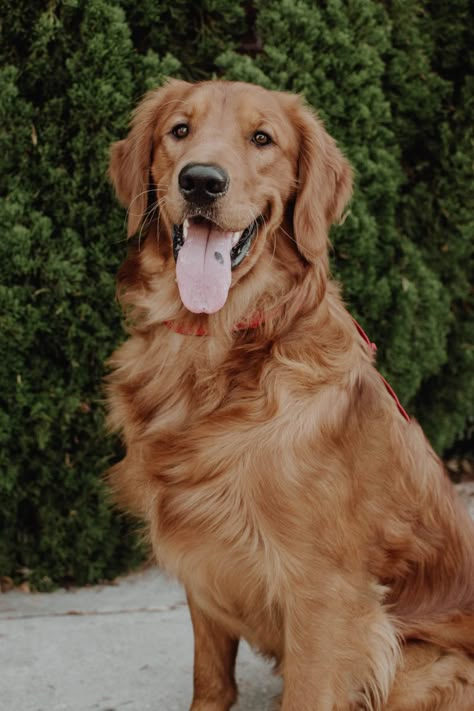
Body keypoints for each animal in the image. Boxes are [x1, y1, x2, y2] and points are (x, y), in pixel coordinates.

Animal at [107, 80, 474, 708]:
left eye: (262, 139)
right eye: (179, 130)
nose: (201, 181)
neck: (217, 348)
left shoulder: (324, 592)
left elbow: (307, 690)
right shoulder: (202, 562)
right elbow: (211, 681)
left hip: (421, 662)